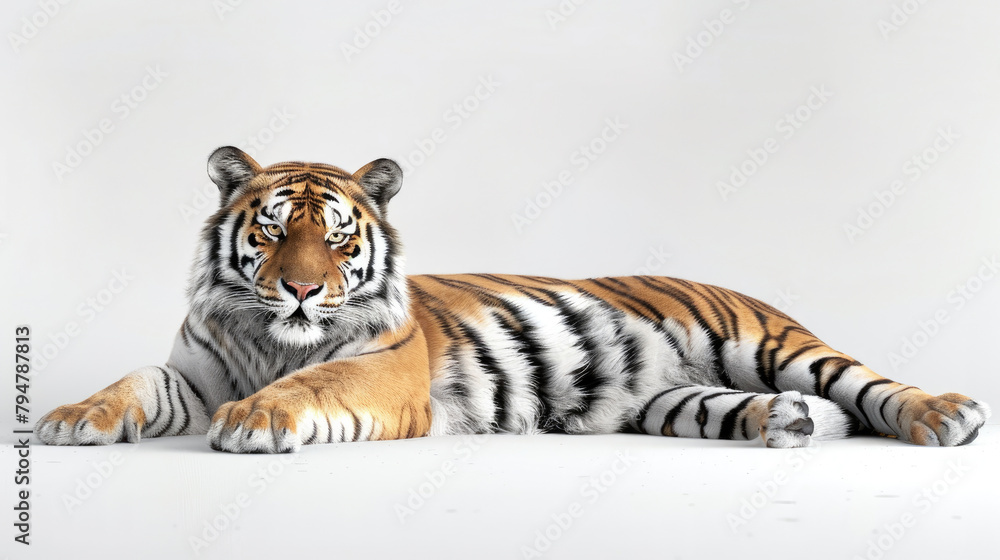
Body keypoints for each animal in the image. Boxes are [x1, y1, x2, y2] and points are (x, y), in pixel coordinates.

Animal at [36, 146, 991, 452]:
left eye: (337, 239)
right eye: (271, 233)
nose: (303, 288)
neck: (272, 338)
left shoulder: (383, 376)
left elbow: (313, 384)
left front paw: (260, 419)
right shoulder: (192, 375)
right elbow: (131, 384)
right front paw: (69, 418)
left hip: (770, 342)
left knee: (871, 385)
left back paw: (947, 414)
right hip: (677, 401)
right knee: (779, 410)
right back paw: (787, 423)